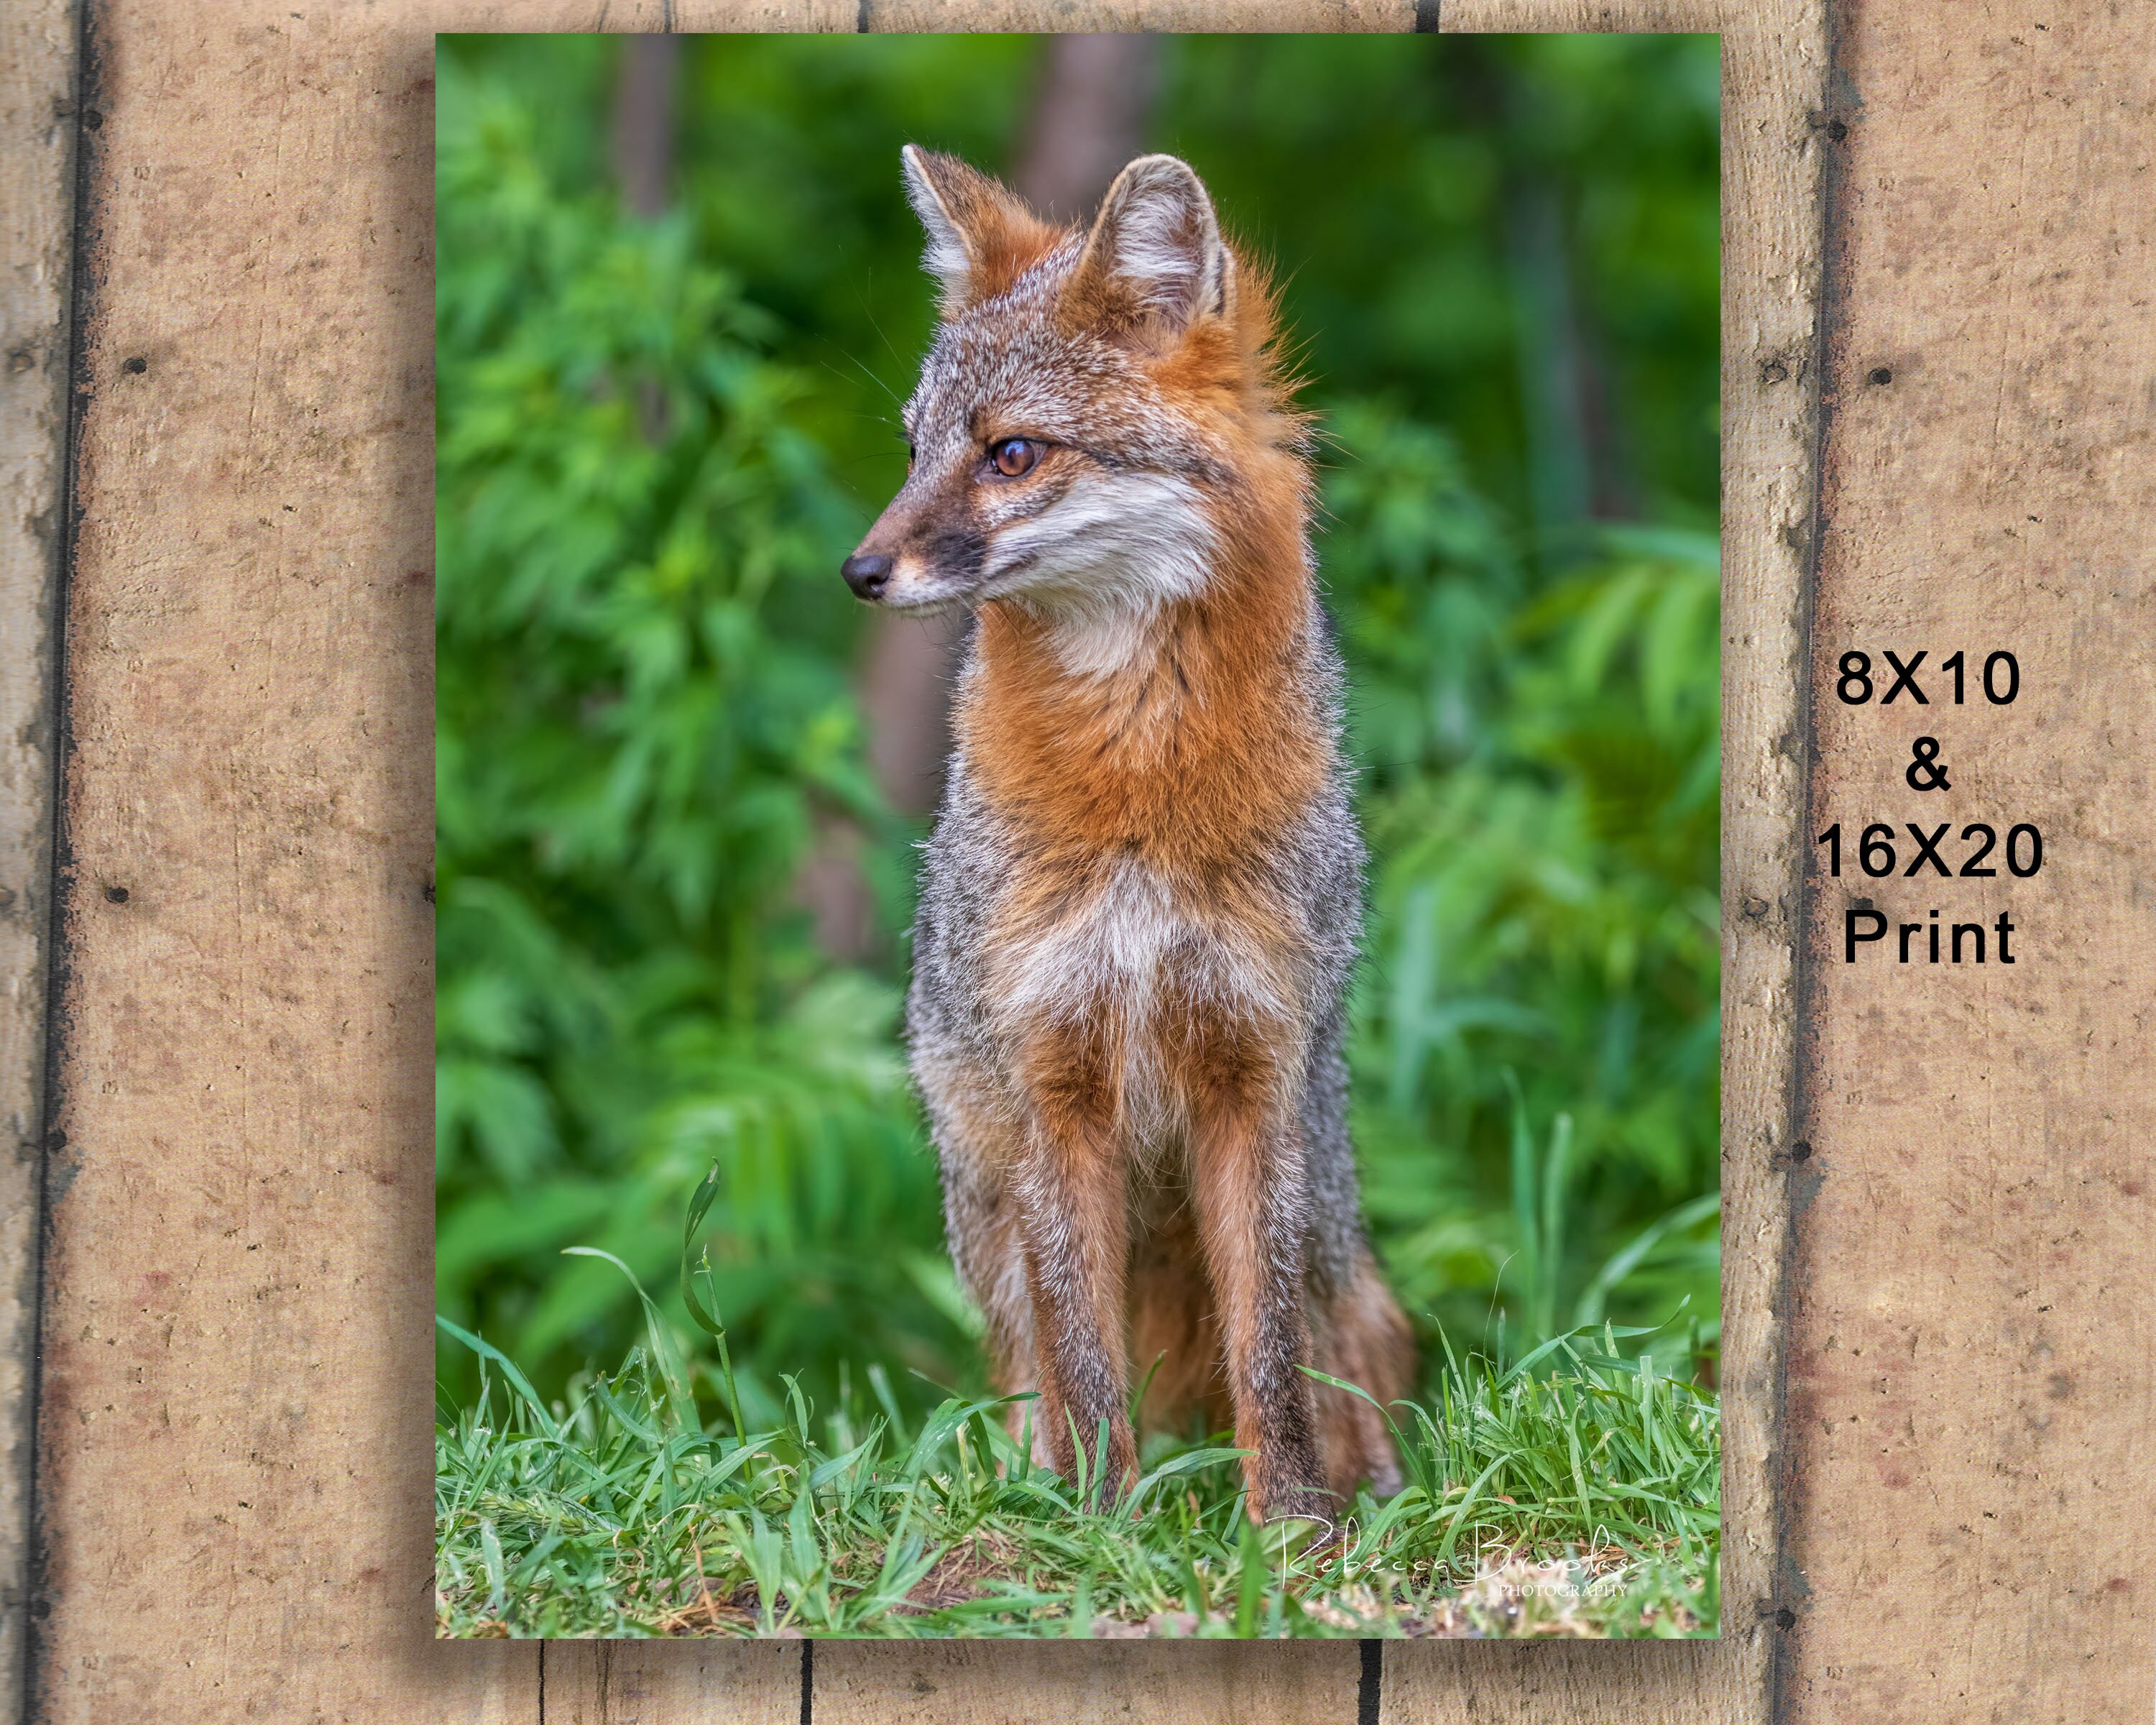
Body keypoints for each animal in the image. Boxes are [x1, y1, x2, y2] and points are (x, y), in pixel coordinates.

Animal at [841, 145, 1413, 1525]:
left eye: (1011, 453)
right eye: (915, 449)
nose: (860, 571)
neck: (1139, 784)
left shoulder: (1253, 1067)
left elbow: (1268, 1351)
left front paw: (1292, 1529)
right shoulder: (1052, 1074)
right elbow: (1086, 1356)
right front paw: (1104, 1530)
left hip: (1326, 1214)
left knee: (1334, 1339)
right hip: (987, 1203)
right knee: (1031, 1375)